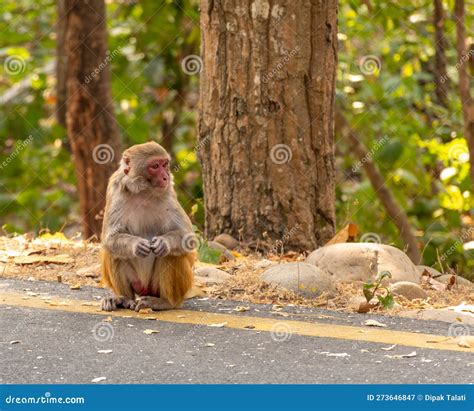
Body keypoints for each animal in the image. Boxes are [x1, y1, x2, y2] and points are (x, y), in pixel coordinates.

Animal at [100, 142, 196, 312]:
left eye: (165, 164)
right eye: (155, 166)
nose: (166, 177)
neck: (143, 192)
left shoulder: (168, 193)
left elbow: (188, 238)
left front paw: (164, 243)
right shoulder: (115, 188)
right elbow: (109, 238)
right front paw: (136, 245)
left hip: (160, 287)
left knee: (170, 255)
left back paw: (165, 302)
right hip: (137, 283)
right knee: (112, 251)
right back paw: (124, 299)